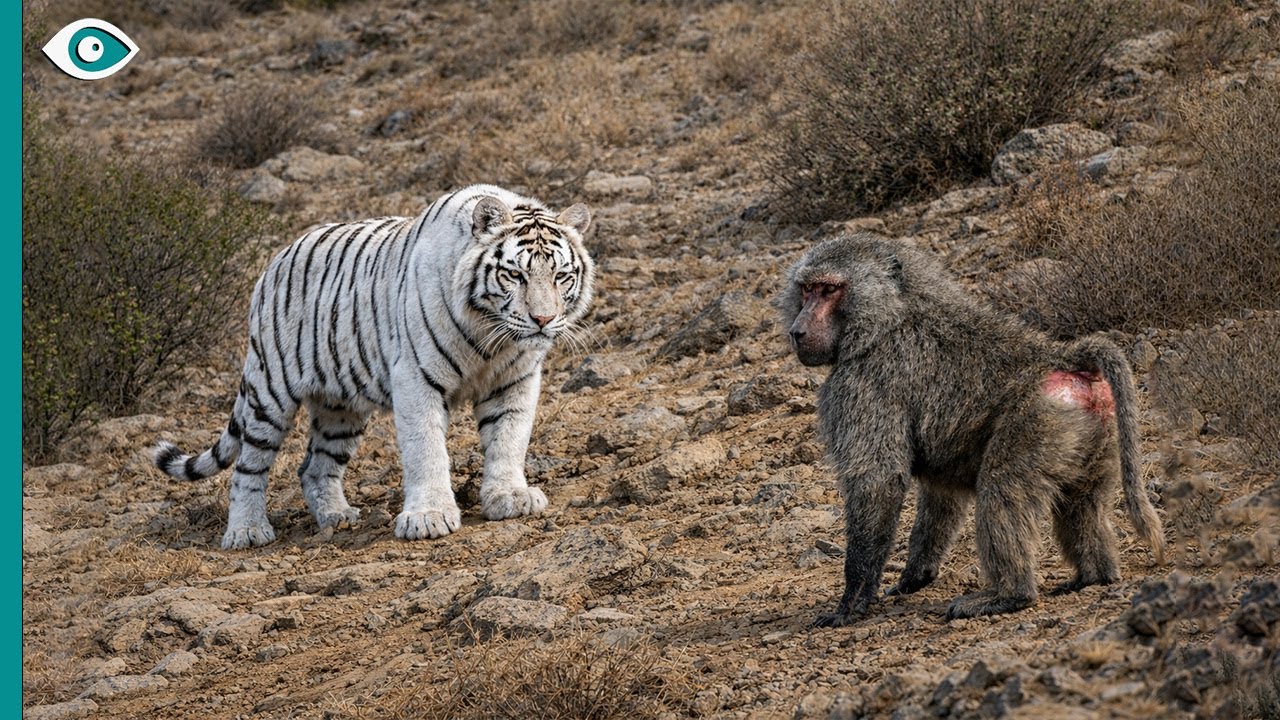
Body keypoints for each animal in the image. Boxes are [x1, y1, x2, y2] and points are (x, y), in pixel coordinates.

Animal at [151, 185, 596, 549]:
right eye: (514, 274)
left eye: (561, 275)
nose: (543, 320)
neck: (492, 338)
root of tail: (274, 262)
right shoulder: (416, 378)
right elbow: (425, 449)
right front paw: (429, 517)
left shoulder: (514, 380)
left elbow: (509, 439)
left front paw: (510, 497)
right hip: (269, 392)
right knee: (248, 467)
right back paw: (246, 532)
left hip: (340, 408)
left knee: (315, 467)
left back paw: (337, 517)